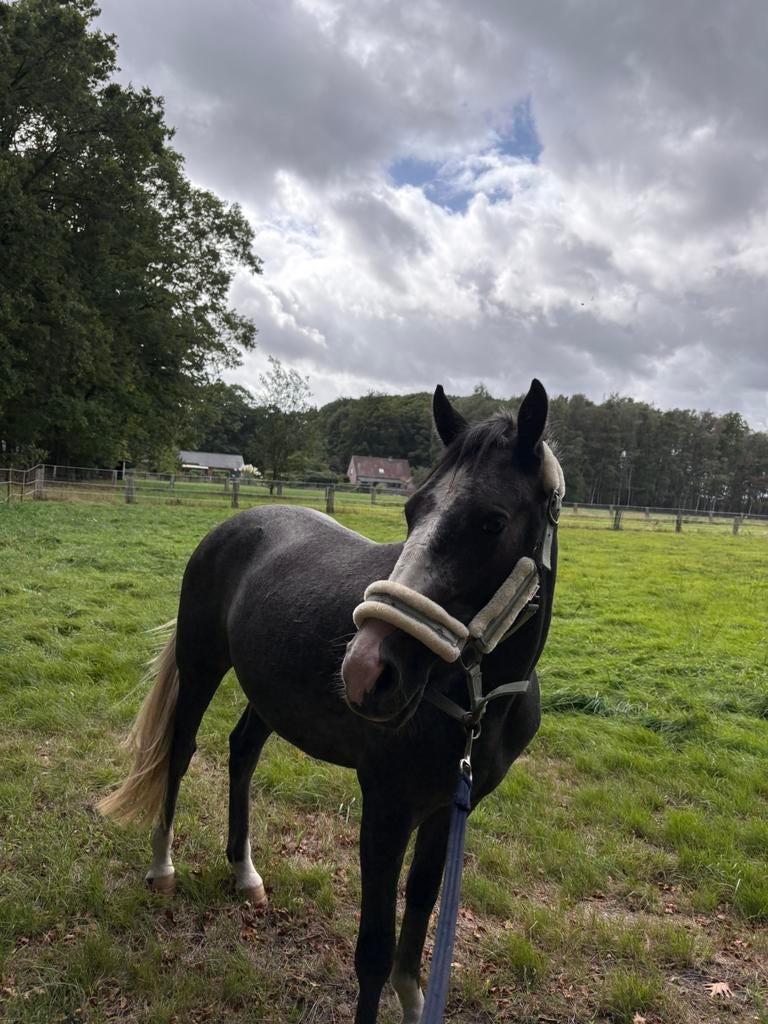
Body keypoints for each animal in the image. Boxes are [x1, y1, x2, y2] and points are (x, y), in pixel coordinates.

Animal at [99, 380, 564, 1024]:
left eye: (492, 521)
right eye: (413, 510)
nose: (366, 671)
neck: (477, 702)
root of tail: (233, 525)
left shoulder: (446, 811)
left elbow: (415, 935)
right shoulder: (386, 810)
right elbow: (374, 953)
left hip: (266, 698)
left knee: (241, 751)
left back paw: (244, 873)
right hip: (200, 669)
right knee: (180, 752)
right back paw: (162, 867)